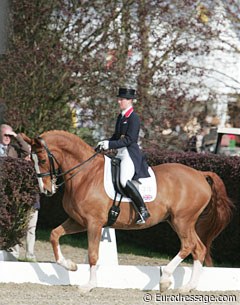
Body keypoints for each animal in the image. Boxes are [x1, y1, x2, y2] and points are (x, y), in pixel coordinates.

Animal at [22, 129, 232, 290]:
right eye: (31, 160)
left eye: (42, 160)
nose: (46, 190)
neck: (85, 175)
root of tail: (200, 174)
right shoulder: (78, 221)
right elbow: (54, 235)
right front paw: (70, 266)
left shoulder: (94, 223)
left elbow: (93, 254)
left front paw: (89, 286)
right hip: (179, 221)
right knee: (199, 249)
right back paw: (188, 287)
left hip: (182, 221)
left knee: (189, 246)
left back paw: (165, 279)